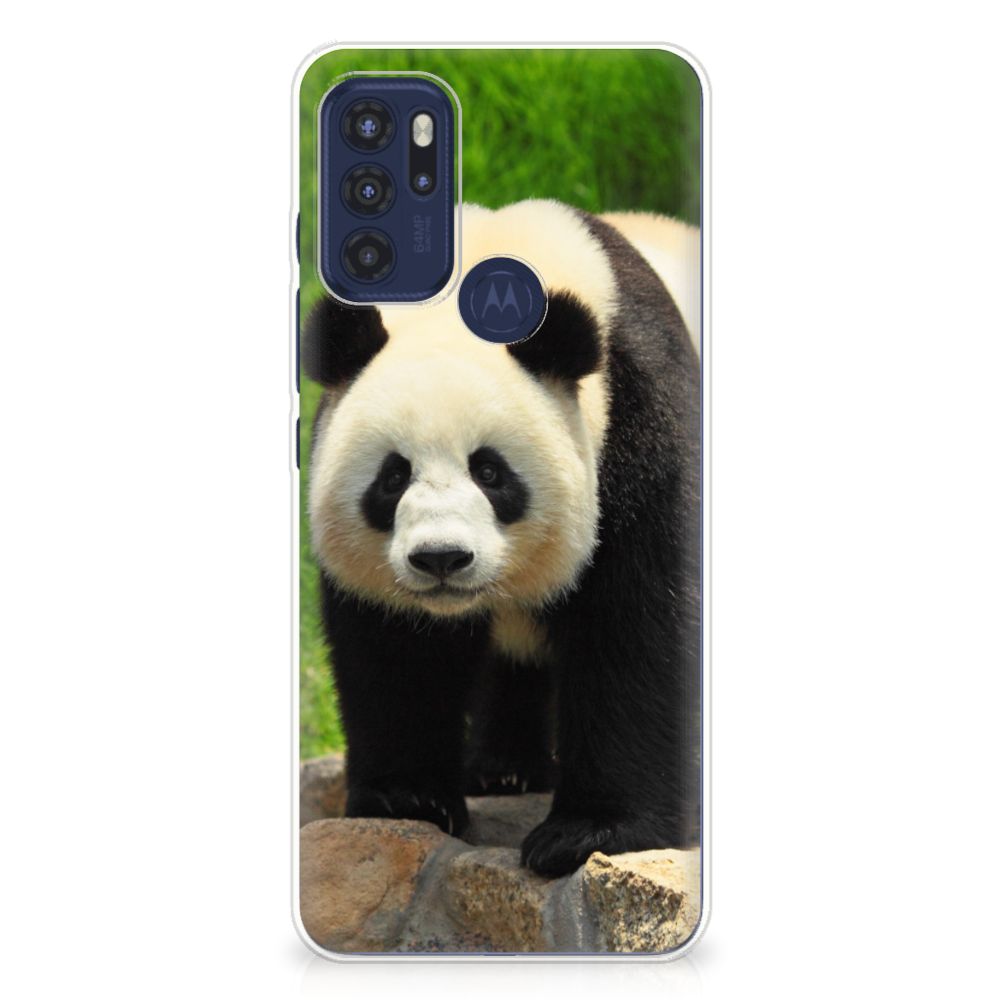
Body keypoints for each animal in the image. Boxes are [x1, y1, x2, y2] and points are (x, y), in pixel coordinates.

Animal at [303, 200, 701, 877]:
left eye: (490, 472)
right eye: (392, 476)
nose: (441, 558)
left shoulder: (640, 421)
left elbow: (638, 625)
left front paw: (588, 832)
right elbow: (394, 650)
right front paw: (407, 799)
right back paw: (504, 770)